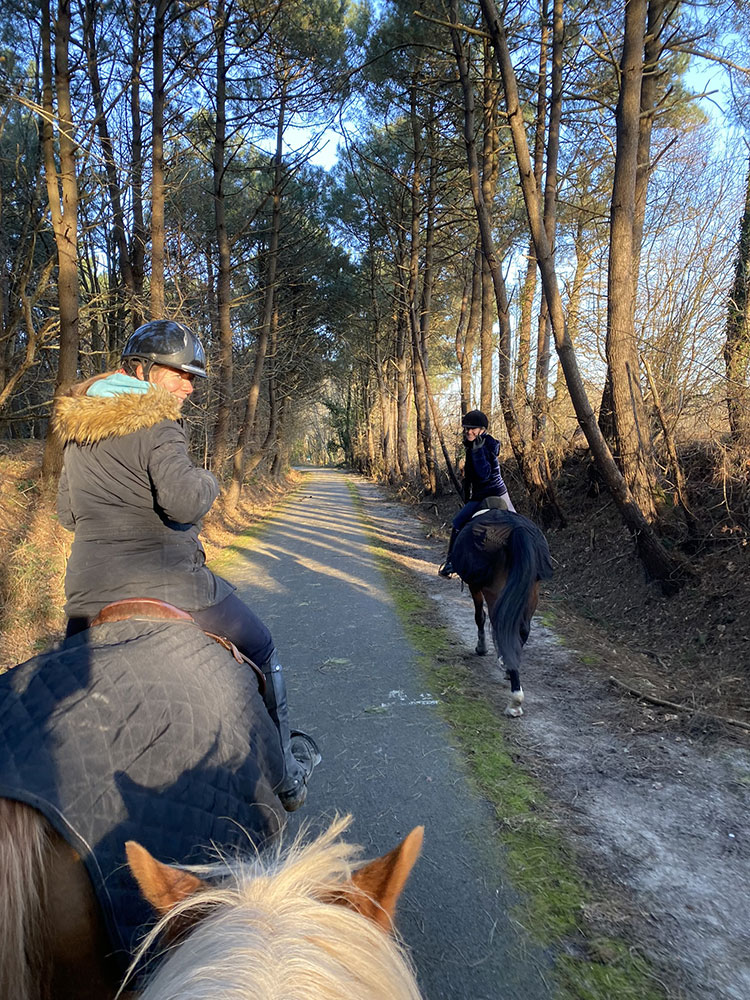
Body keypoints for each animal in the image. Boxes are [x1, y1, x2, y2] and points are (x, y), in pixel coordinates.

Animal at [452, 512, 552, 716]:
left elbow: (479, 616)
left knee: (500, 625)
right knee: (521, 630)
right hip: (531, 592)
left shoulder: (475, 585)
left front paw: (481, 648)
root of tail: (516, 530)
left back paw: (515, 700)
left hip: (494, 591)